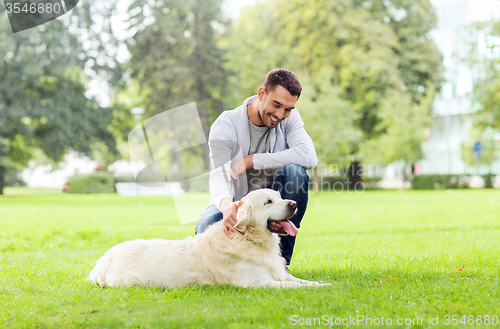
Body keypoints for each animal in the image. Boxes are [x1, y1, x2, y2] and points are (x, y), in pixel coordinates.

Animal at [89, 190, 328, 288]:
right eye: (268, 202)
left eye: (279, 197)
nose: (293, 204)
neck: (249, 240)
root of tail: (101, 261)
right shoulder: (256, 283)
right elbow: (294, 286)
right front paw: (320, 288)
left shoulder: (278, 273)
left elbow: (299, 281)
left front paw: (325, 284)